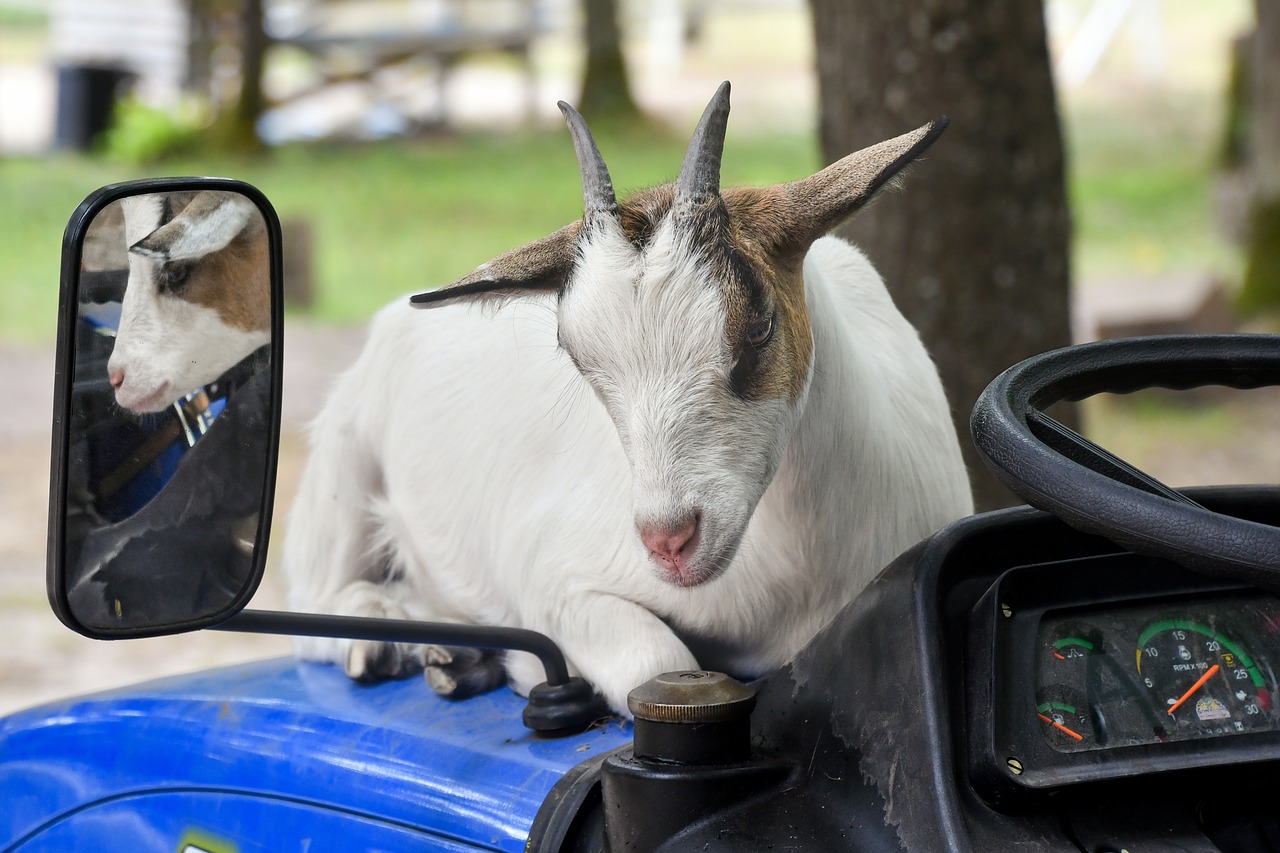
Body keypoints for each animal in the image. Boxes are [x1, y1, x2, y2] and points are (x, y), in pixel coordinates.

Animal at [285, 84, 972, 712]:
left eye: (758, 327)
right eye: (579, 356)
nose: (669, 543)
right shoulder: (553, 578)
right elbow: (657, 661)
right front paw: (535, 668)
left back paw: (454, 659)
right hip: (343, 473)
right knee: (317, 606)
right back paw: (389, 644)